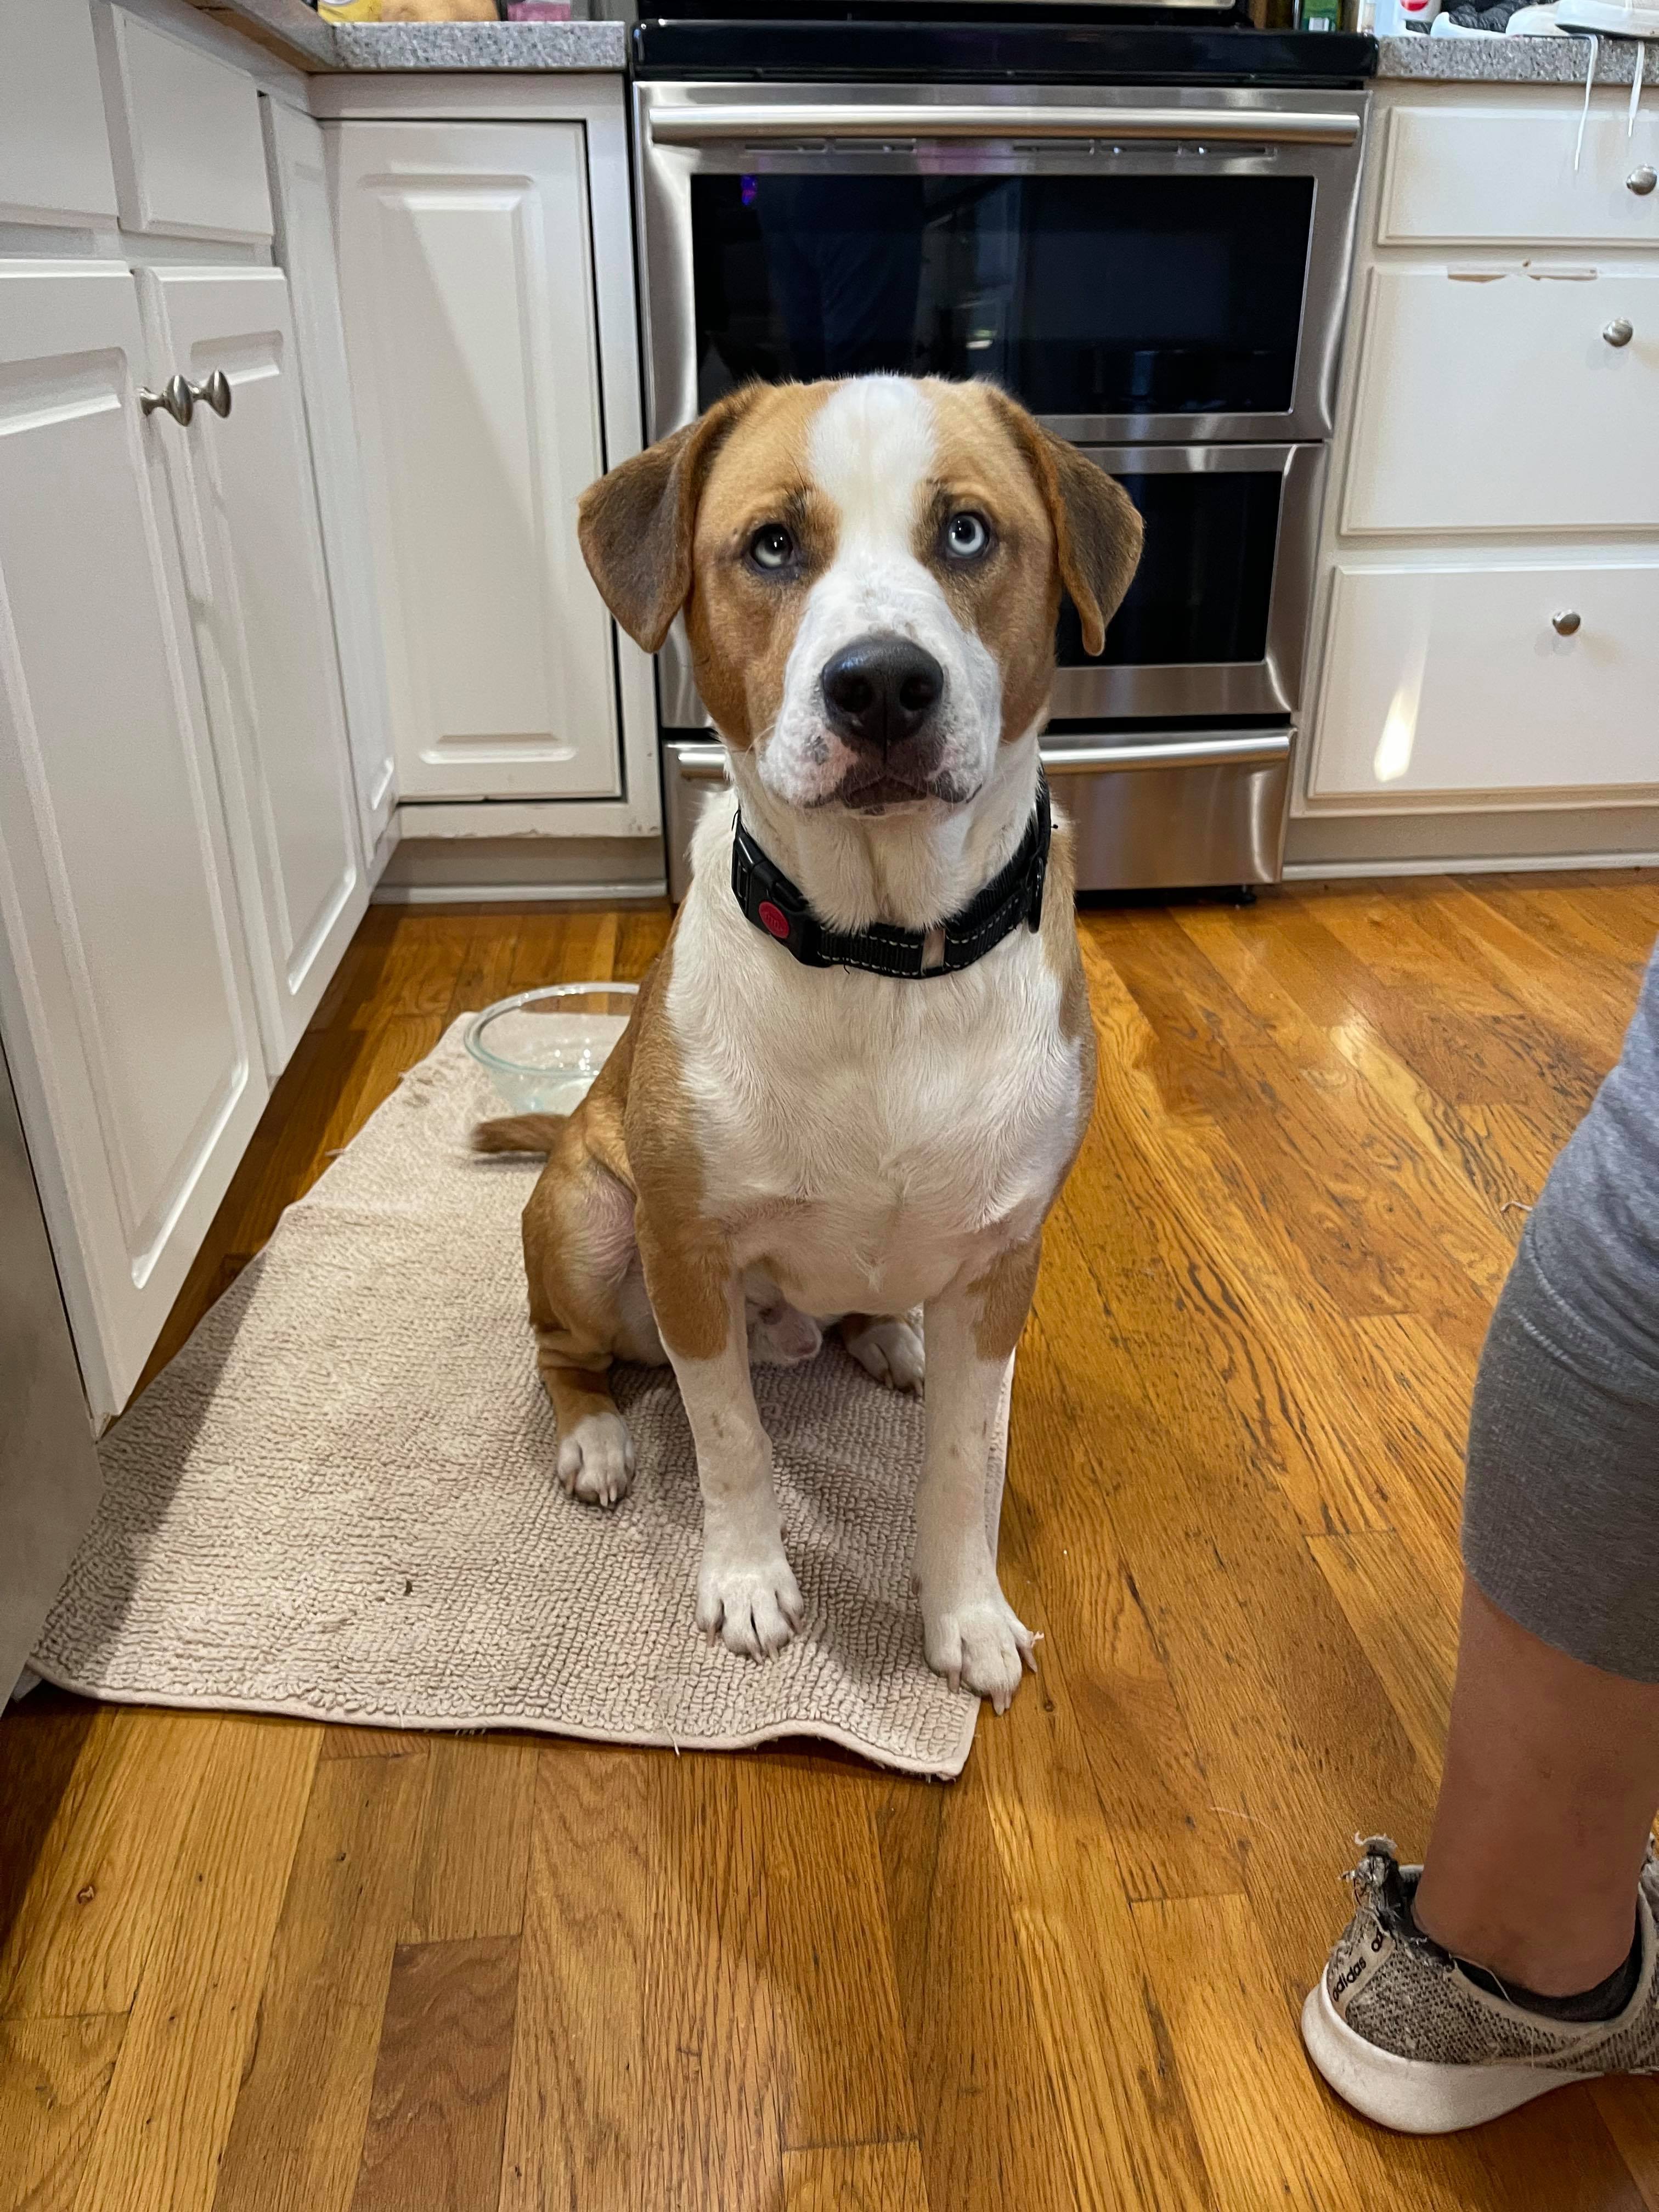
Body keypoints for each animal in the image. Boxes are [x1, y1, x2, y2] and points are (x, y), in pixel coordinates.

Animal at [471, 376, 1141, 1707]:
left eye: (967, 533)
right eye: (773, 544)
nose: (880, 685)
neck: (882, 955)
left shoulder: (1003, 1265)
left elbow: (966, 1467)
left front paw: (966, 1615)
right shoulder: (685, 1249)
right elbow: (728, 1436)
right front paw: (746, 1581)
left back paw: (889, 1340)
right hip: (585, 1218)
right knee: (565, 1348)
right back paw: (596, 1438)